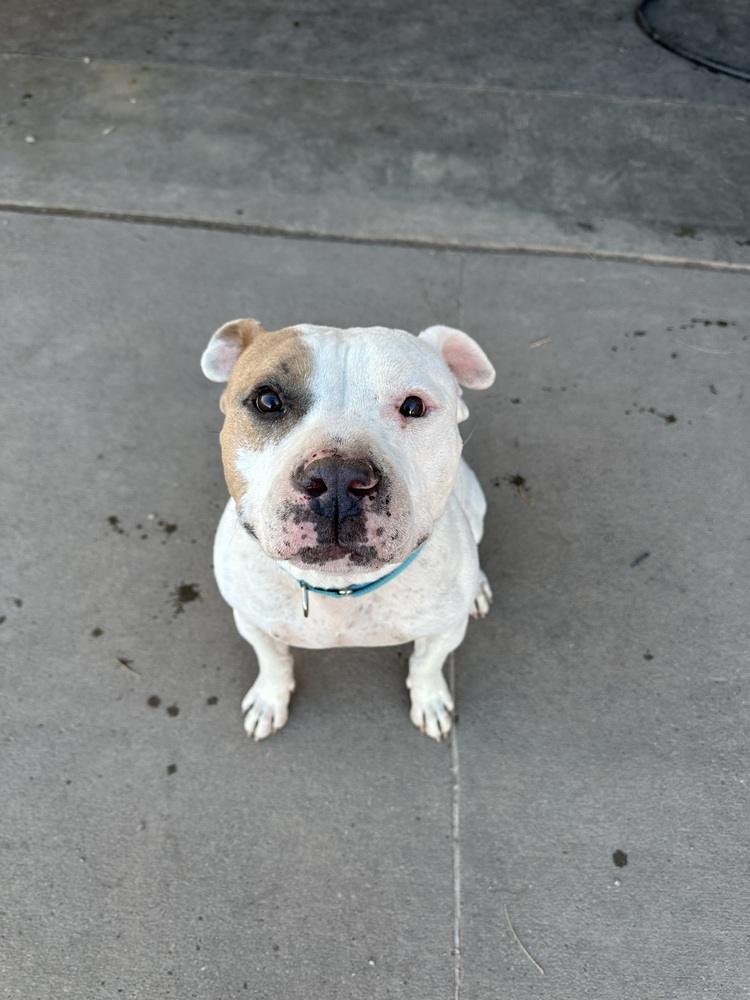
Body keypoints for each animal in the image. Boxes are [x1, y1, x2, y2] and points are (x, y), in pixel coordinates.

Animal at [200, 316, 496, 740]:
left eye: (413, 406)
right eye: (268, 401)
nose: (338, 477)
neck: (340, 589)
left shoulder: (444, 631)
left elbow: (426, 664)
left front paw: (430, 700)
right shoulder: (253, 622)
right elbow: (272, 660)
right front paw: (269, 700)